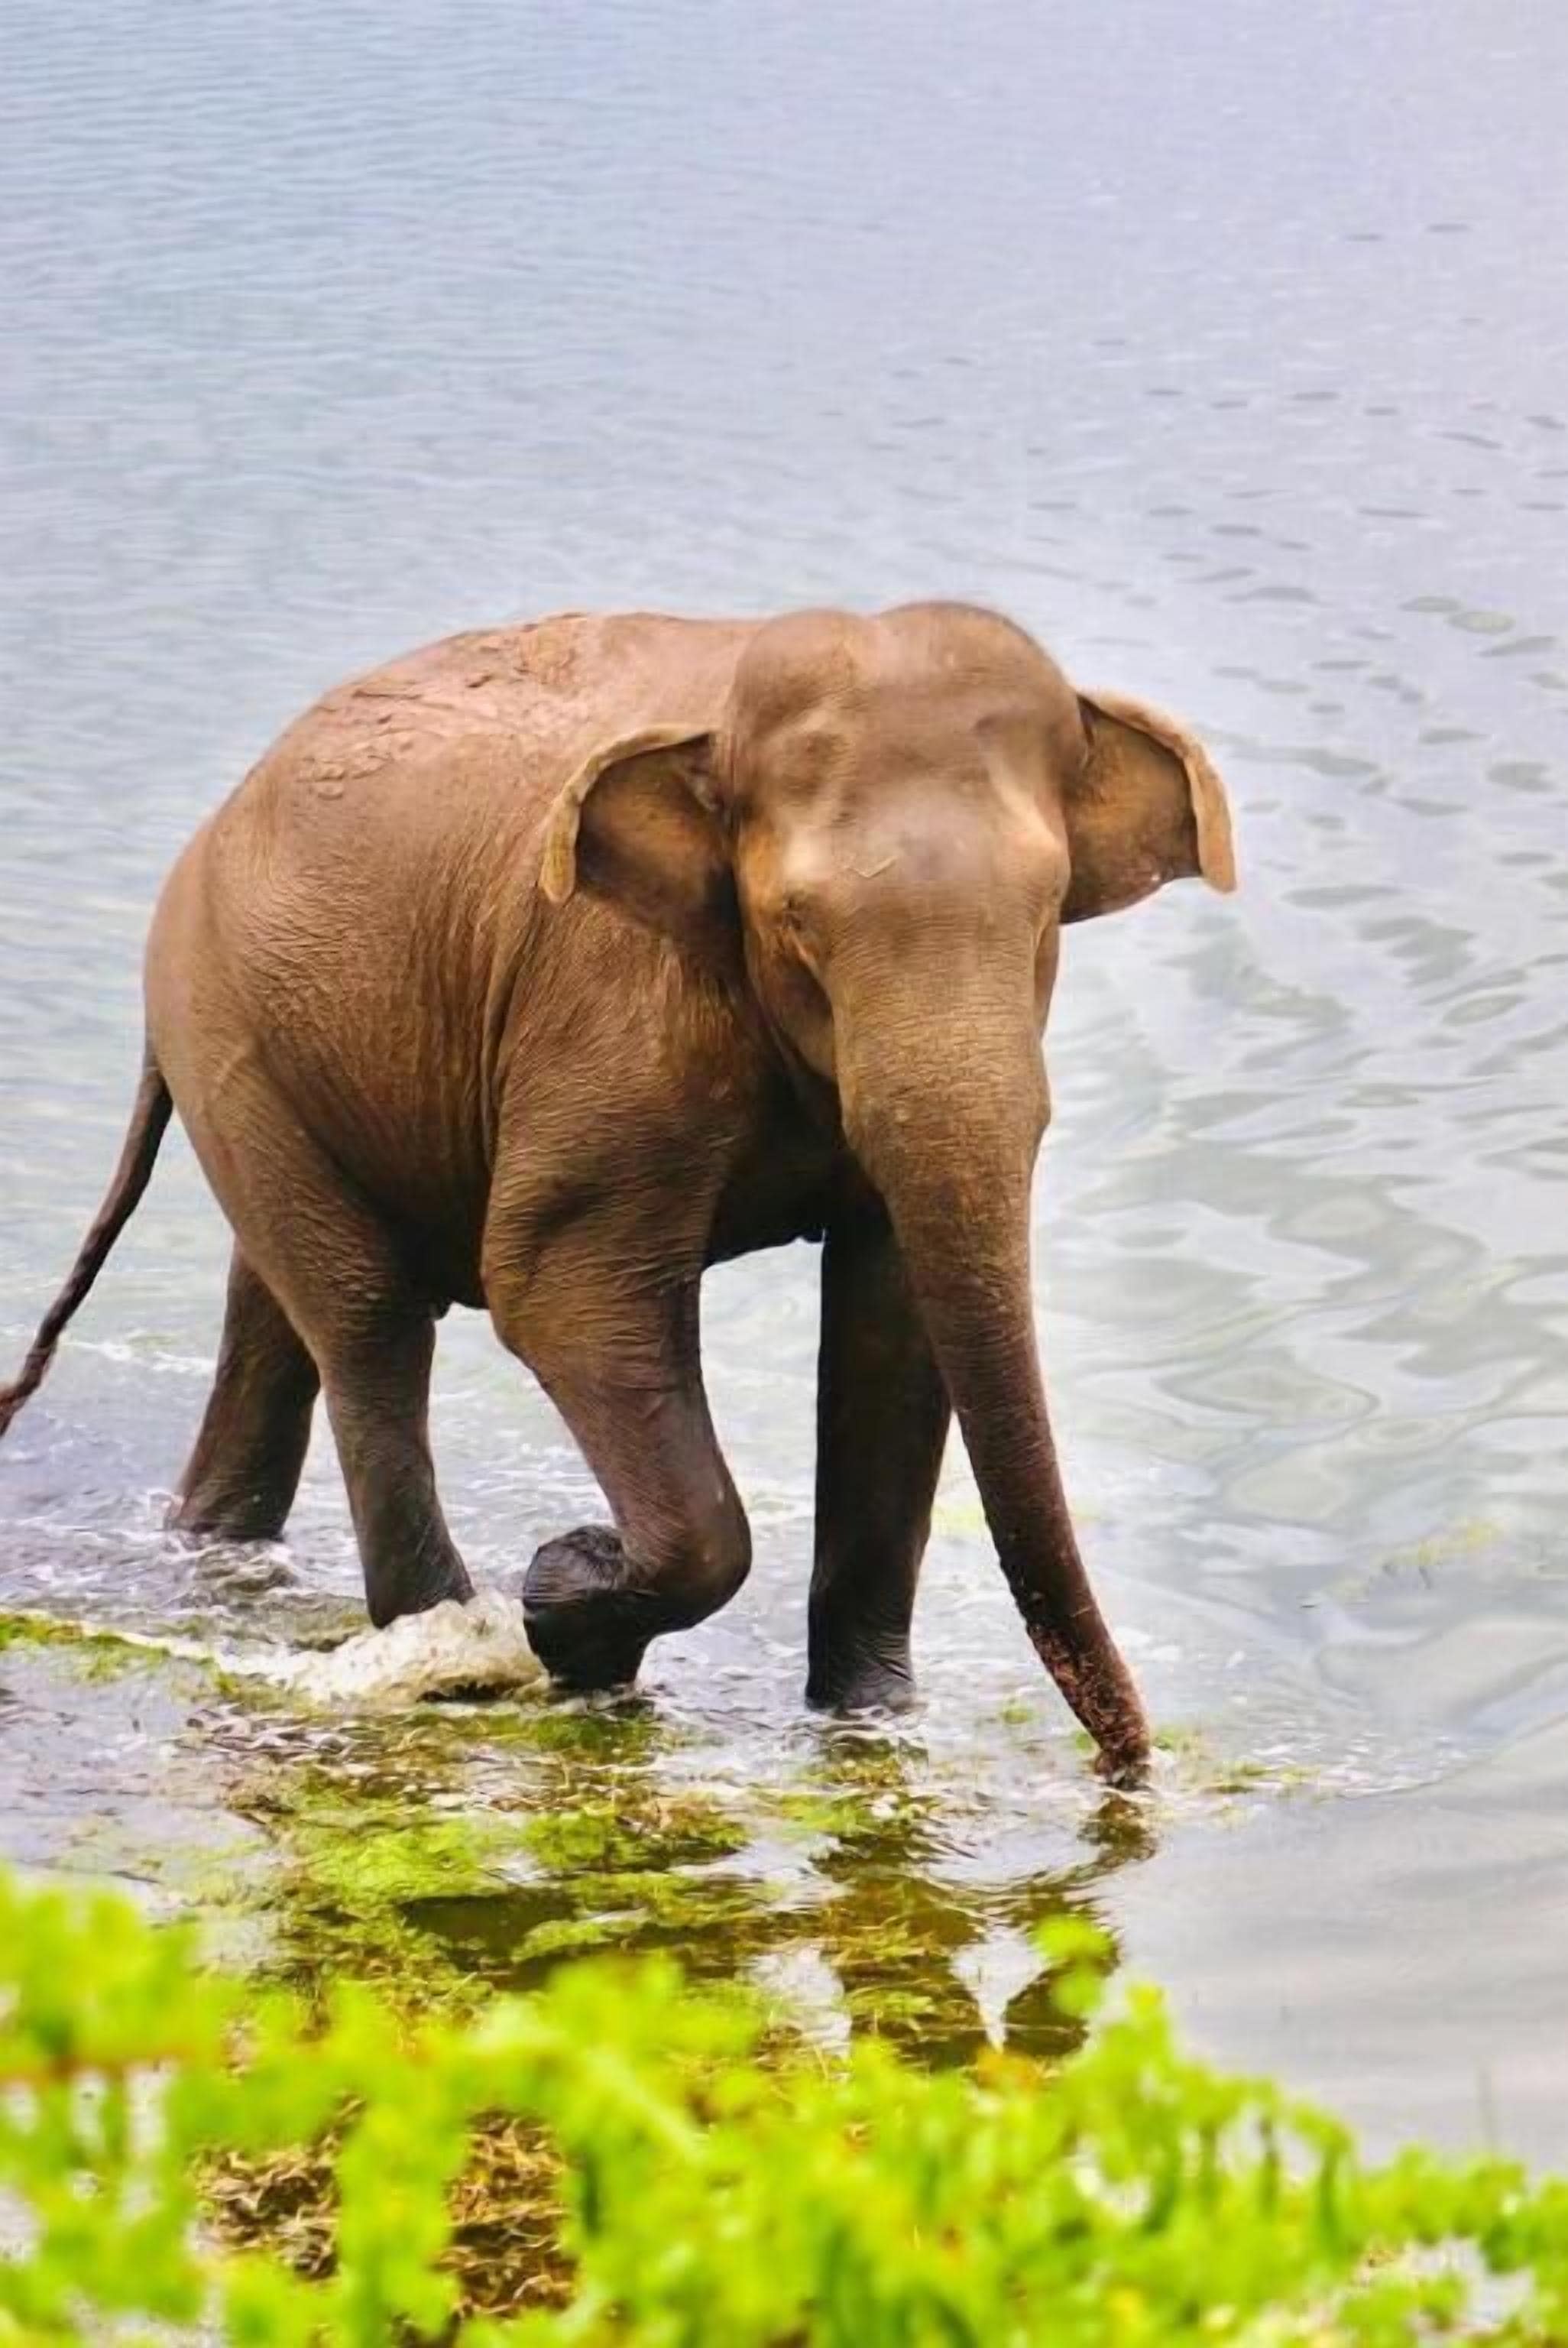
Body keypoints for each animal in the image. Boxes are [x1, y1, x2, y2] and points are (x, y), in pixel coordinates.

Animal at [0, 602, 1235, 1781]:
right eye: (796, 925)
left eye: (1047, 911)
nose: (1129, 1768)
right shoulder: (610, 1003)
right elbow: (557, 1288)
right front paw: (568, 1588)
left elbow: (892, 1328)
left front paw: (868, 1721)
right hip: (223, 1023)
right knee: (368, 1327)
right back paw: (449, 1644)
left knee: (280, 1319)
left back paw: (226, 1557)